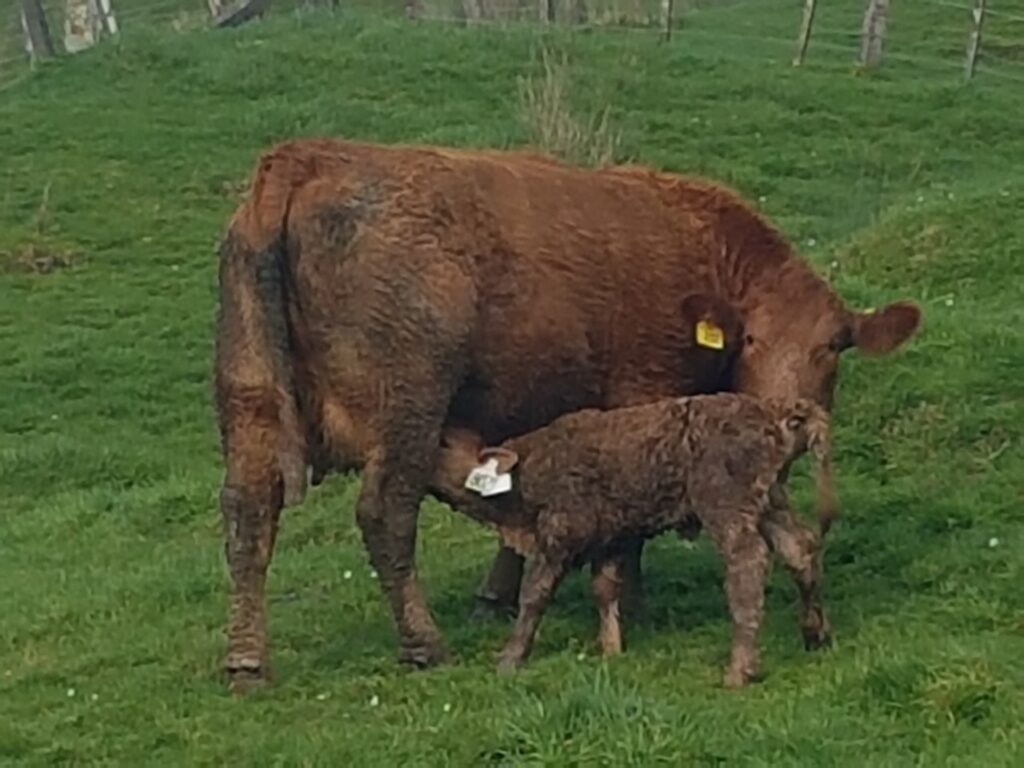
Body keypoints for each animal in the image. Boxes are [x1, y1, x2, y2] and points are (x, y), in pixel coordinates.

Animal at [431, 393, 836, 686]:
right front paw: (611, 650)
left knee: (748, 565)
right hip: (770, 501)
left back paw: (739, 670)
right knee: (800, 548)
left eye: (445, 443)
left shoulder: (560, 533)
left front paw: (510, 659)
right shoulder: (612, 538)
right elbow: (604, 588)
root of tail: (774, 411)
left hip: (728, 508)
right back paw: (815, 634)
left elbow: (534, 595)